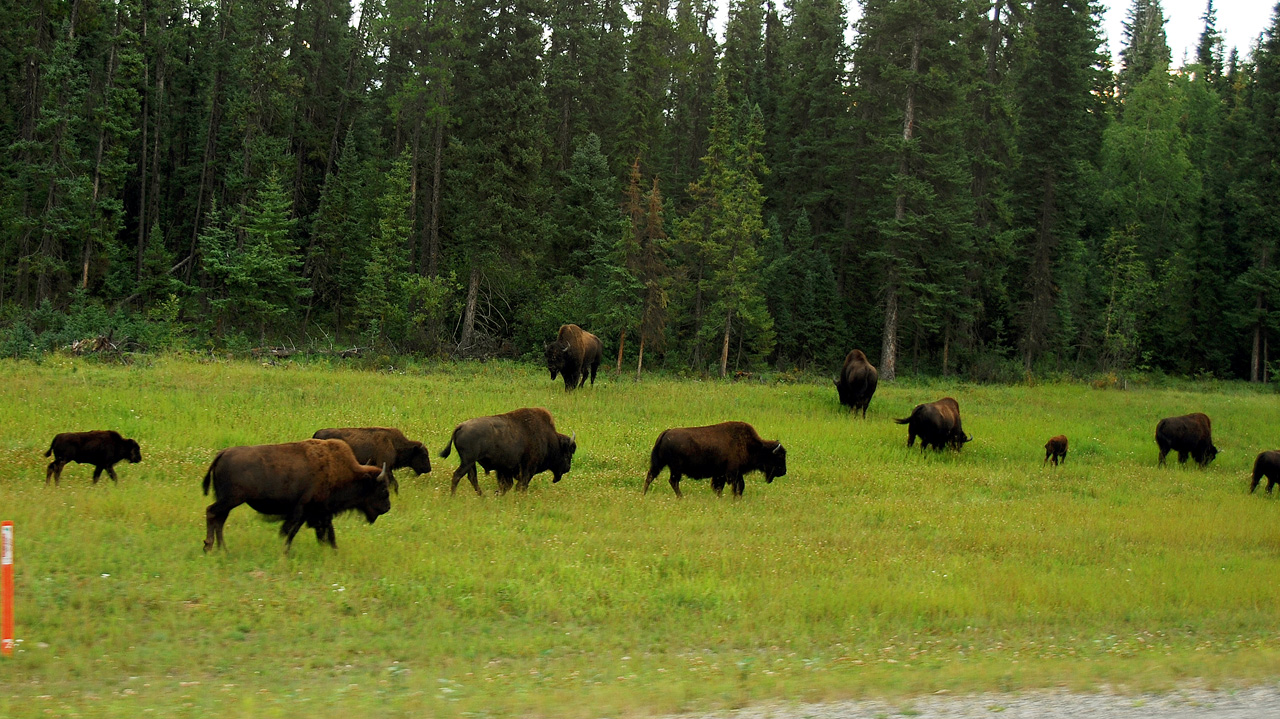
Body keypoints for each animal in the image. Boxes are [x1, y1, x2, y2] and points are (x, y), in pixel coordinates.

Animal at [197, 437, 389, 547]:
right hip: (231, 499)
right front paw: (285, 549)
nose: (387, 507)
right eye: (382, 488)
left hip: (229, 501)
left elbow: (326, 533)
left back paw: (222, 549)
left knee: (219, 520)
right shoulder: (305, 510)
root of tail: (223, 453)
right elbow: (292, 531)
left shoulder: (318, 513)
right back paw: (209, 546)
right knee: (212, 513)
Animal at [442, 406, 578, 496]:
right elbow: (520, 485)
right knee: (458, 476)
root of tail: (460, 426)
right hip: (468, 462)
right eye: (568, 454)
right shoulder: (527, 469)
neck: (549, 439)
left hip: (471, 463)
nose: (568, 468)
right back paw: (454, 496)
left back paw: (482, 496)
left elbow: (507, 485)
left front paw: (498, 493)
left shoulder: (504, 470)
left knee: (472, 478)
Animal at [645, 419, 783, 498]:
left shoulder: (723, 474)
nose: (783, 472)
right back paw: (680, 497)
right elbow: (737, 486)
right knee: (673, 481)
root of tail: (666, 432)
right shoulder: (732, 473)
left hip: (659, 464)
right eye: (779, 457)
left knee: (651, 476)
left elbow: (721, 487)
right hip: (675, 468)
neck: (752, 445)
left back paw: (644, 494)